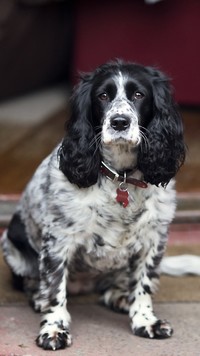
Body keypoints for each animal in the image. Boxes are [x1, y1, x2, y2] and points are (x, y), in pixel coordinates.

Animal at [1, 59, 186, 350]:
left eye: (139, 94)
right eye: (103, 96)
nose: (119, 122)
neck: (121, 176)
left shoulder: (154, 237)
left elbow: (144, 283)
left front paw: (145, 321)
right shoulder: (59, 238)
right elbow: (54, 288)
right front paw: (53, 328)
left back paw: (121, 297)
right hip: (12, 238)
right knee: (36, 282)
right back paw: (38, 298)